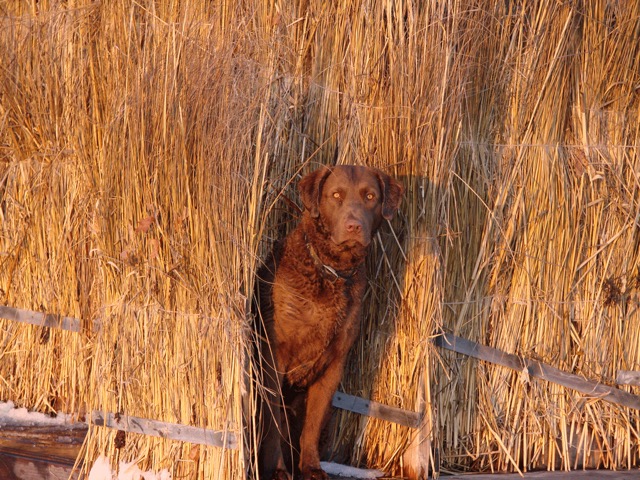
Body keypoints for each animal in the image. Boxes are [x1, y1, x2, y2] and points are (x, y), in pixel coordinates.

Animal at [254, 166, 400, 480]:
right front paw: (277, 470)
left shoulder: (334, 363)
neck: (330, 271)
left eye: (370, 196)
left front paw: (311, 467)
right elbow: (273, 424)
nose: (354, 226)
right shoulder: (274, 356)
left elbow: (313, 424)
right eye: (335, 195)